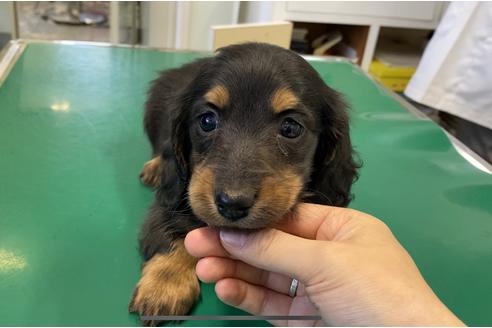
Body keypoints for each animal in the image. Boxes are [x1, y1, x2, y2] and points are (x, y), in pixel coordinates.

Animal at [127, 41, 358, 326]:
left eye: (291, 127)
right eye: (207, 120)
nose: (232, 204)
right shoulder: (174, 195)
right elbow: (172, 229)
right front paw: (165, 285)